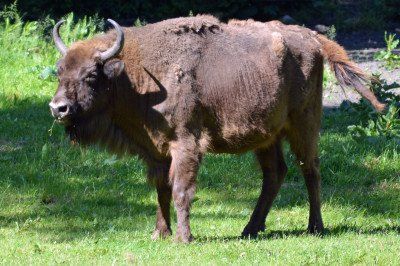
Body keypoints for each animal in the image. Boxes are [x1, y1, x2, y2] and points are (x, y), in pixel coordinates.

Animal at [50, 15, 384, 242]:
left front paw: (184, 238)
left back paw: (315, 227)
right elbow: (161, 190)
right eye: (59, 71)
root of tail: (311, 37)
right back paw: (250, 229)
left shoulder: (185, 144)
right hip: (267, 136)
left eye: (91, 76)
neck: (132, 75)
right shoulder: (155, 151)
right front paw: (160, 233)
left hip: (304, 125)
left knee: (310, 169)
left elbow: (181, 189)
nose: (58, 108)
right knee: (275, 173)